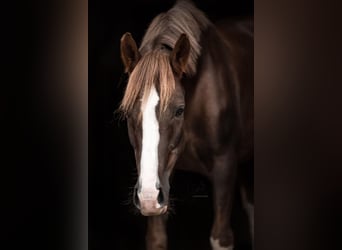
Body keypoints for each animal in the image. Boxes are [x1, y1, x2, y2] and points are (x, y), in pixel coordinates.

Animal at [119, 0, 252, 249]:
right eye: (128, 113)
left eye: (179, 110)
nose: (148, 197)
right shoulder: (162, 179)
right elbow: (156, 238)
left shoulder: (225, 168)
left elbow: (221, 237)